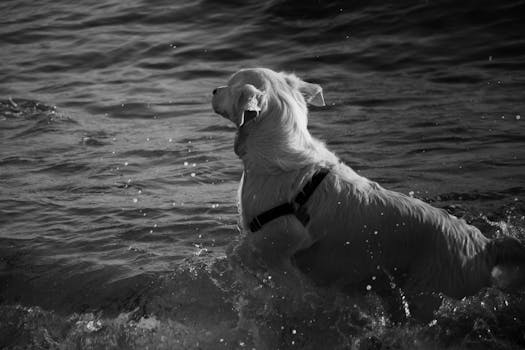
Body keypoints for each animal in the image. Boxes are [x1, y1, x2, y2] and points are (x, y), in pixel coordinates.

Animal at [211, 67, 520, 298]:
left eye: (228, 86)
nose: (213, 90)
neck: (277, 150)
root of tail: (485, 244)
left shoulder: (283, 235)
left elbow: (239, 252)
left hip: (429, 292)